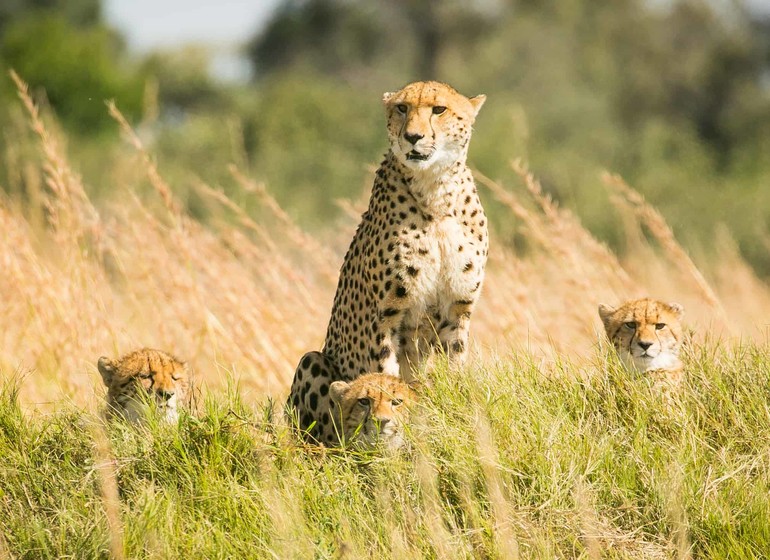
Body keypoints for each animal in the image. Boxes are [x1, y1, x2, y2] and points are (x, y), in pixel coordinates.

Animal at [288, 81, 486, 444]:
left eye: (439, 109)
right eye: (402, 108)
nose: (413, 137)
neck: (436, 193)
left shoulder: (458, 307)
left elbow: (454, 369)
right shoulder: (387, 315)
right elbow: (385, 373)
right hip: (313, 364)